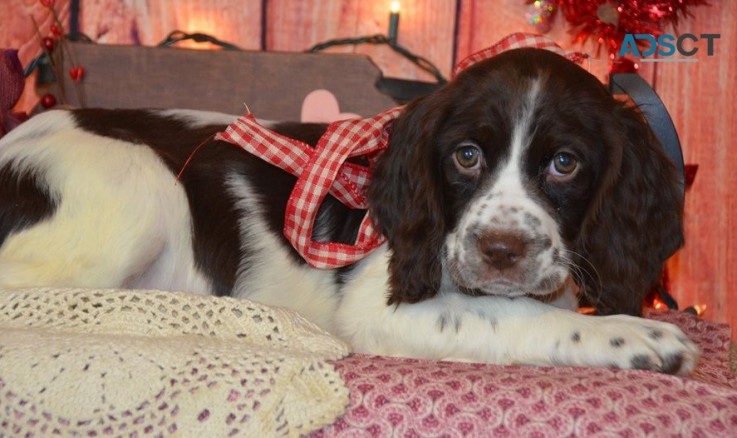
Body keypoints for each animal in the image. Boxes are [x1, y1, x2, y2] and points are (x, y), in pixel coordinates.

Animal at [0, 48, 696, 372]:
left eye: (565, 164)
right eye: (466, 156)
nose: (500, 252)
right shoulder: (381, 306)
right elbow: (512, 317)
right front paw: (635, 337)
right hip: (139, 183)